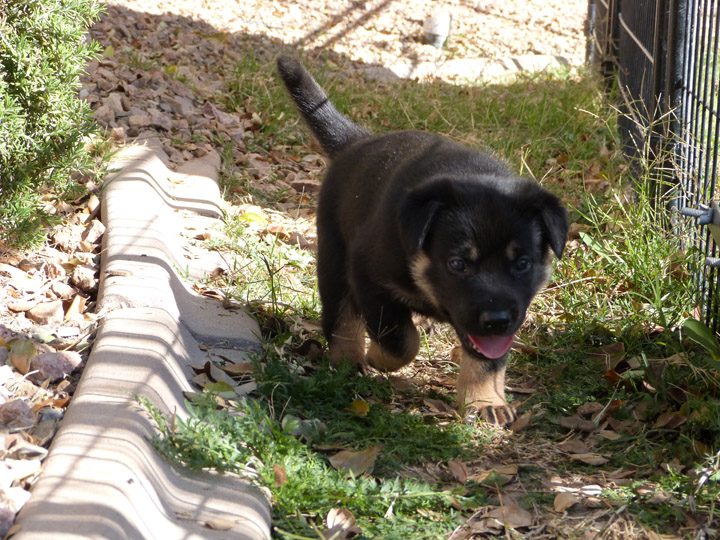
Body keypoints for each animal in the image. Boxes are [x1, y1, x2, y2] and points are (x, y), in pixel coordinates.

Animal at [278, 56, 568, 426]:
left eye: (522, 264)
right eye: (457, 264)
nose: (497, 320)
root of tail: (358, 143)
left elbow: (488, 360)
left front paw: (484, 400)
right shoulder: (368, 275)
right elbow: (398, 339)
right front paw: (377, 357)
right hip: (334, 257)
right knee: (341, 316)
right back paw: (348, 361)